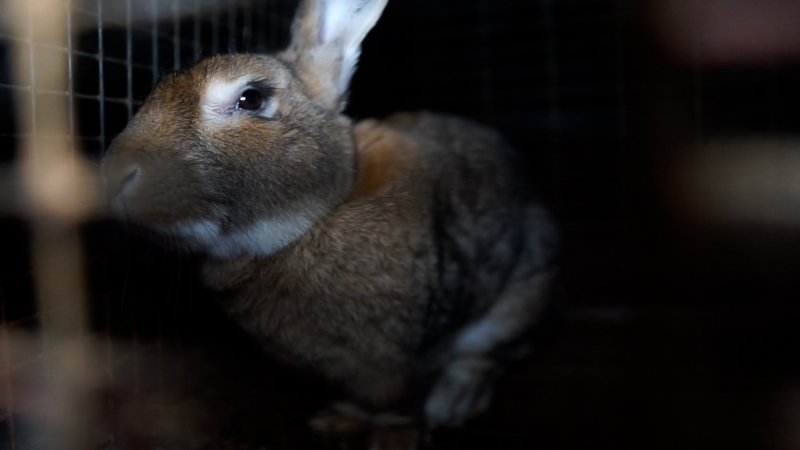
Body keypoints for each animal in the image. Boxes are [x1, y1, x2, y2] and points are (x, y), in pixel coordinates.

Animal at [103, 0, 560, 438]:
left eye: (252, 98)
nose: (117, 176)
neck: (319, 216)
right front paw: (341, 421)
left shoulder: (424, 347)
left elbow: (409, 399)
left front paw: (395, 435)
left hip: (521, 297)